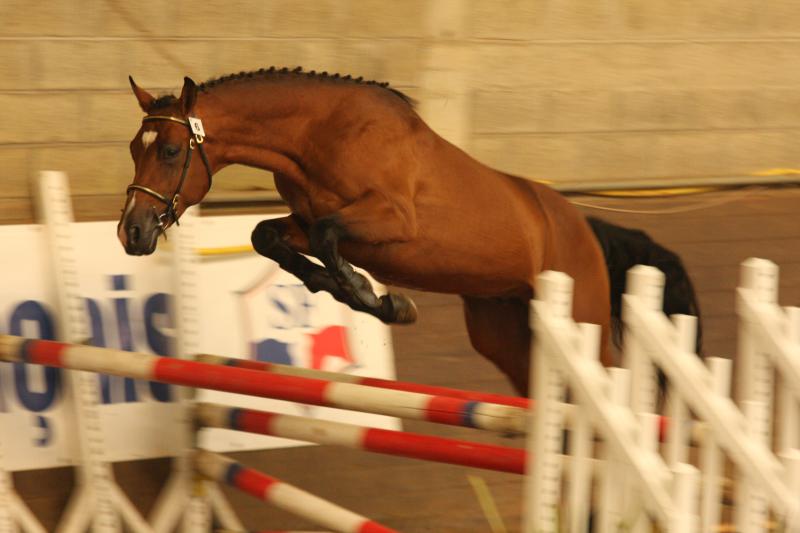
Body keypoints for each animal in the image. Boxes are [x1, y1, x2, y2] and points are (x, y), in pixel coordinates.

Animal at [117, 67, 700, 396]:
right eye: (132, 148)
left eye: (171, 151)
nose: (132, 233)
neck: (322, 133)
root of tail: (585, 226)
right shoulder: (303, 223)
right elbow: (270, 237)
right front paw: (355, 293)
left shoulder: (391, 219)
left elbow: (329, 237)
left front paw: (380, 298)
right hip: (507, 332)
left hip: (584, 326)